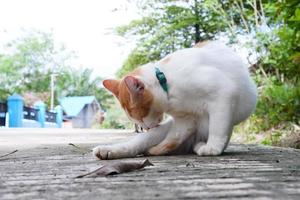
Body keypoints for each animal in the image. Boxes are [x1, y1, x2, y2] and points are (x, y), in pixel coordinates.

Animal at [92, 41, 256, 159]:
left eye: (142, 117)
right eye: (137, 120)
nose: (145, 127)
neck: (168, 86)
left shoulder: (223, 93)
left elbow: (218, 126)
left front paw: (213, 148)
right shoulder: (185, 119)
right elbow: (172, 139)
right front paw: (156, 150)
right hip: (162, 130)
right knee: (139, 143)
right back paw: (108, 150)